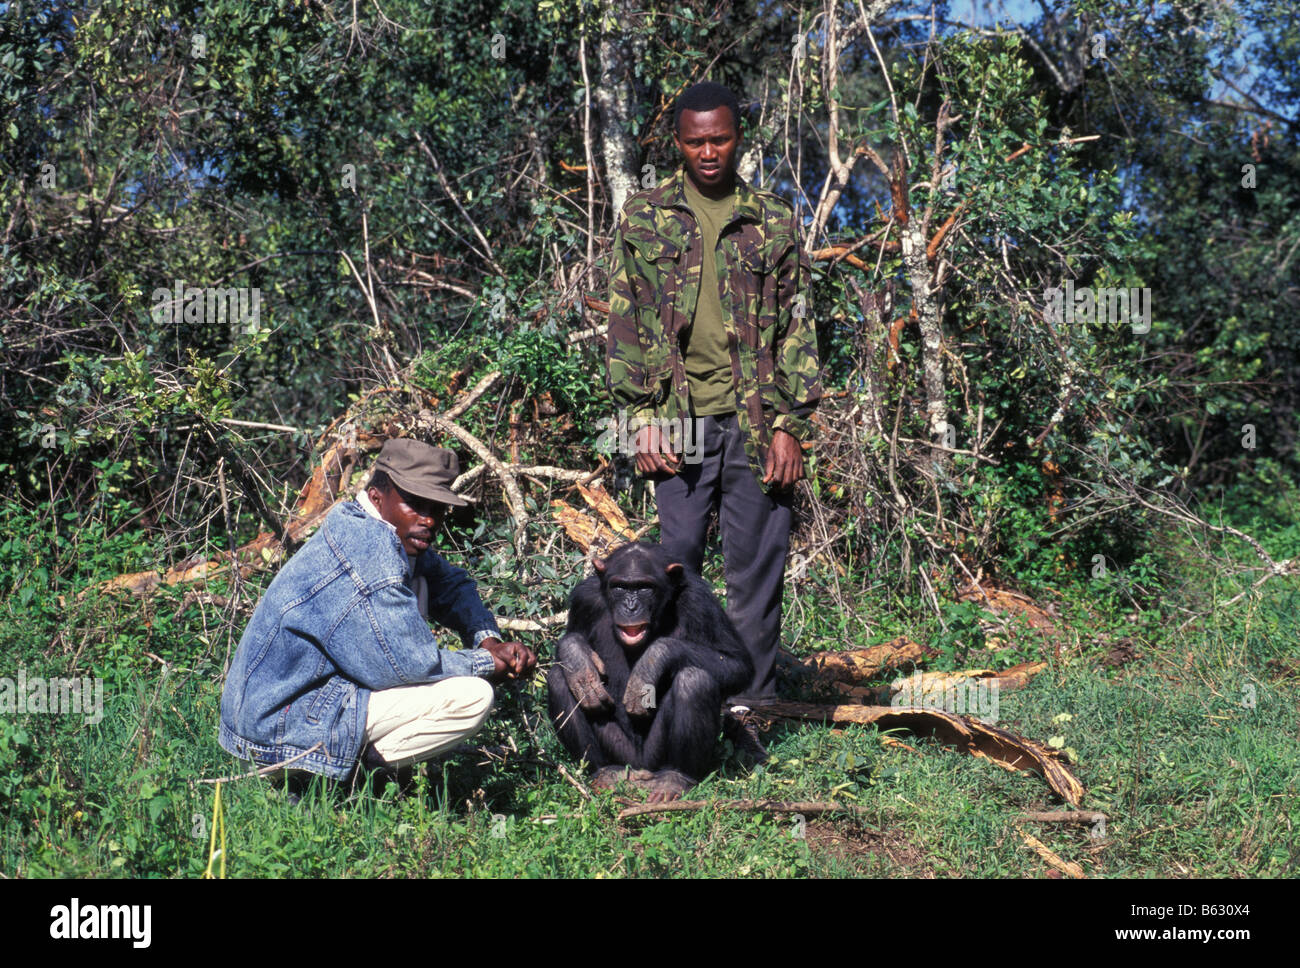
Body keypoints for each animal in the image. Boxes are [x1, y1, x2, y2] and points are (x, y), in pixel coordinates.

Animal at [546, 540, 754, 795]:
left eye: (645, 588)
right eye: (620, 587)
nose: (631, 606)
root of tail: (639, 769)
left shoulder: (699, 601)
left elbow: (736, 663)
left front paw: (652, 662)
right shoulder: (584, 599)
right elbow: (571, 639)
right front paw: (577, 657)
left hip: (655, 758)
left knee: (695, 681)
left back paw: (676, 777)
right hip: (620, 752)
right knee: (558, 678)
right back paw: (604, 771)